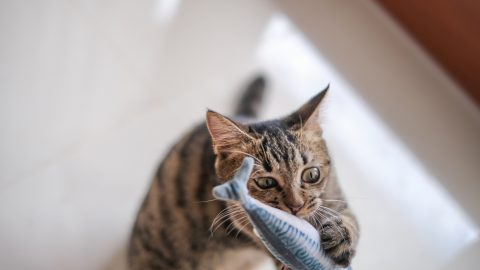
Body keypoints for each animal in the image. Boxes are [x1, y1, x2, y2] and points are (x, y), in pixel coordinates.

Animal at [128, 76, 360, 270]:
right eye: (266, 182)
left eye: (311, 175)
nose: (296, 206)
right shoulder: (240, 219)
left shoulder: (336, 197)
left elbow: (351, 222)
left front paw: (340, 236)